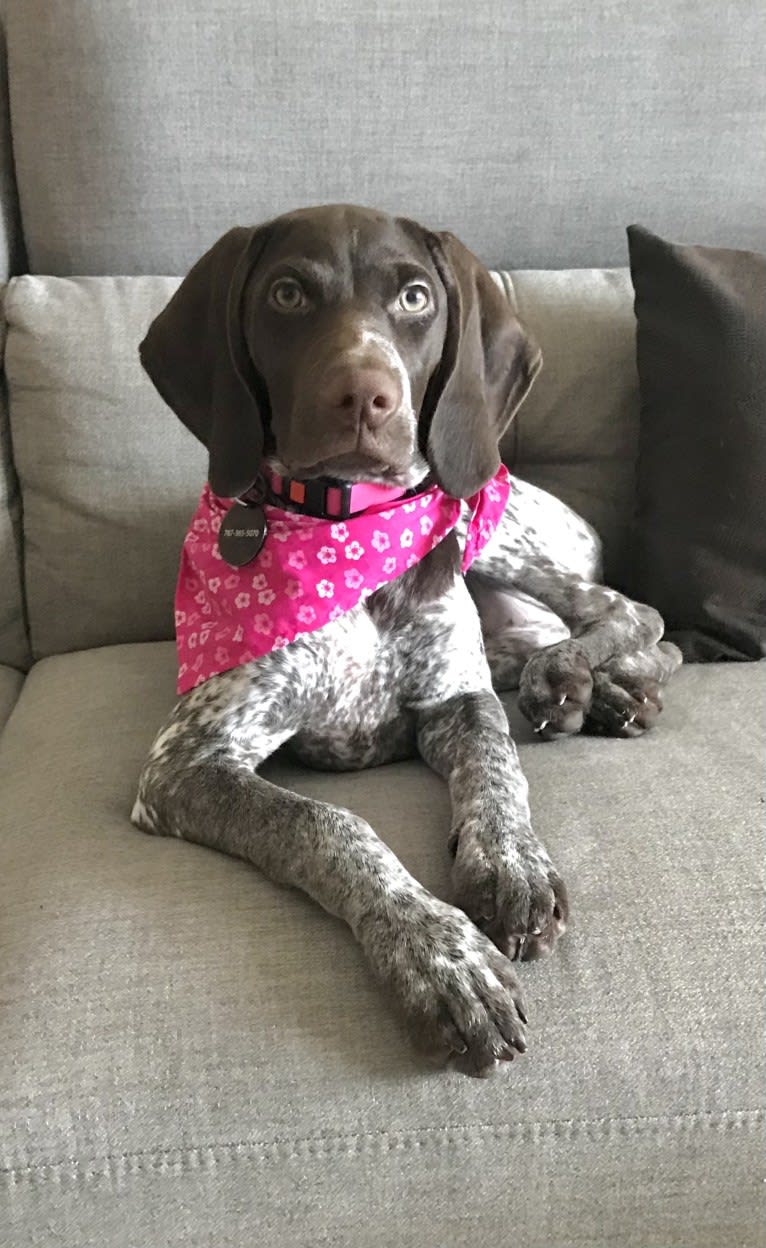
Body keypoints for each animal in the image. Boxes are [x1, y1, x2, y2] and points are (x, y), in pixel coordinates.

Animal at [132, 202, 683, 1073]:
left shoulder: (459, 700)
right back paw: (606, 695)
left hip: (491, 527)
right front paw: (437, 957)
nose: (366, 396)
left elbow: (497, 772)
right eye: (287, 293)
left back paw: (575, 678)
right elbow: (329, 824)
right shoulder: (182, 766)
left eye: (416, 297)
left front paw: (513, 865)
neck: (344, 530)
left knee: (627, 611)